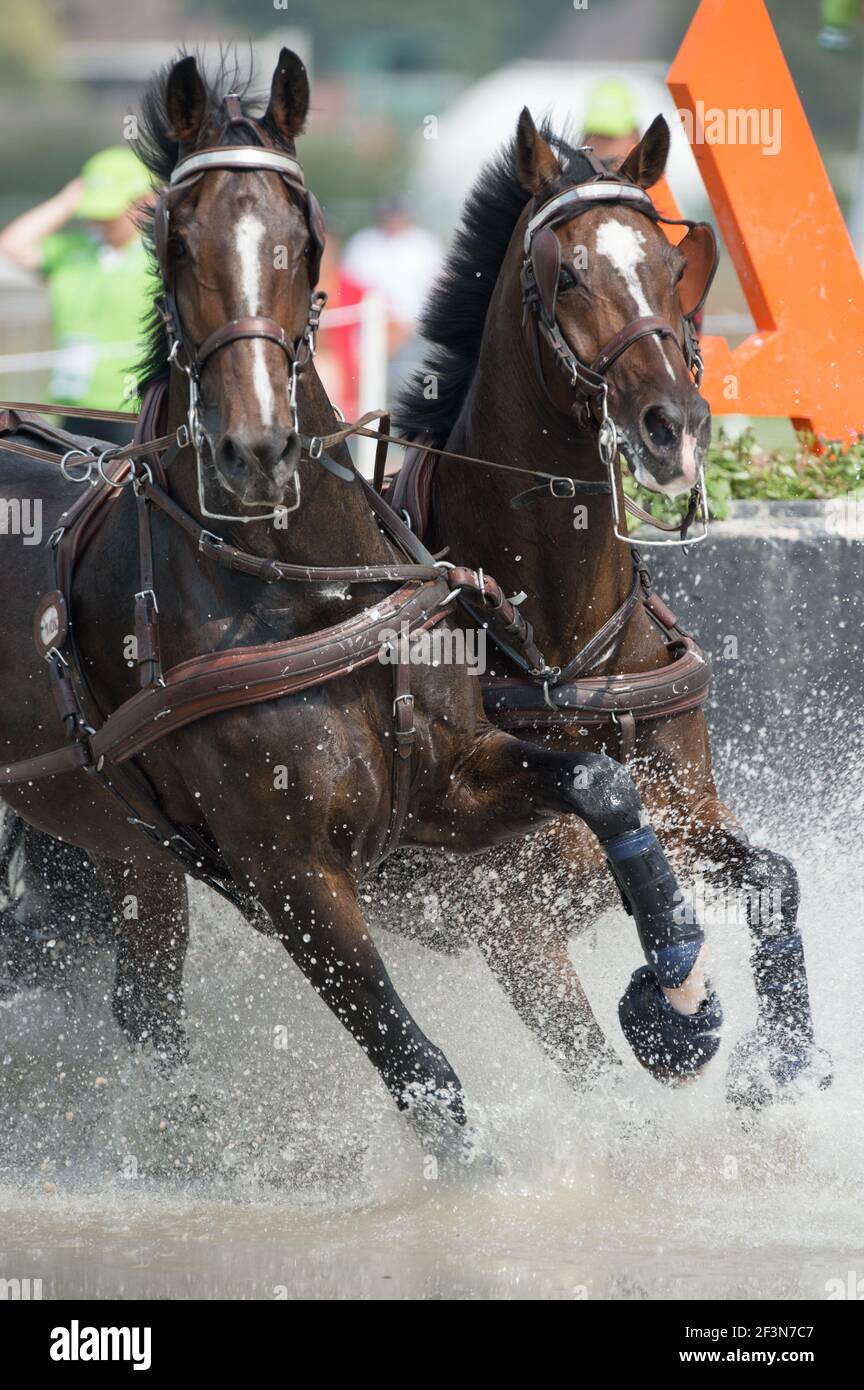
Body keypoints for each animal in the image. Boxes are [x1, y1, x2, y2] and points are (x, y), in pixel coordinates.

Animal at [0, 53, 710, 1153]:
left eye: (304, 238)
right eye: (176, 239)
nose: (255, 448)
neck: (310, 595)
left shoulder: (462, 796)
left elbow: (610, 790)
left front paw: (680, 982)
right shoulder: (305, 877)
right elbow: (432, 1078)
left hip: (128, 856)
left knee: (141, 1004)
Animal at [380, 109, 832, 1107]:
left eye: (671, 267)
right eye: (568, 274)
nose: (675, 426)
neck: (564, 650)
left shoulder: (687, 820)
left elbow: (775, 880)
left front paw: (780, 1066)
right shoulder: (513, 927)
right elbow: (593, 1075)